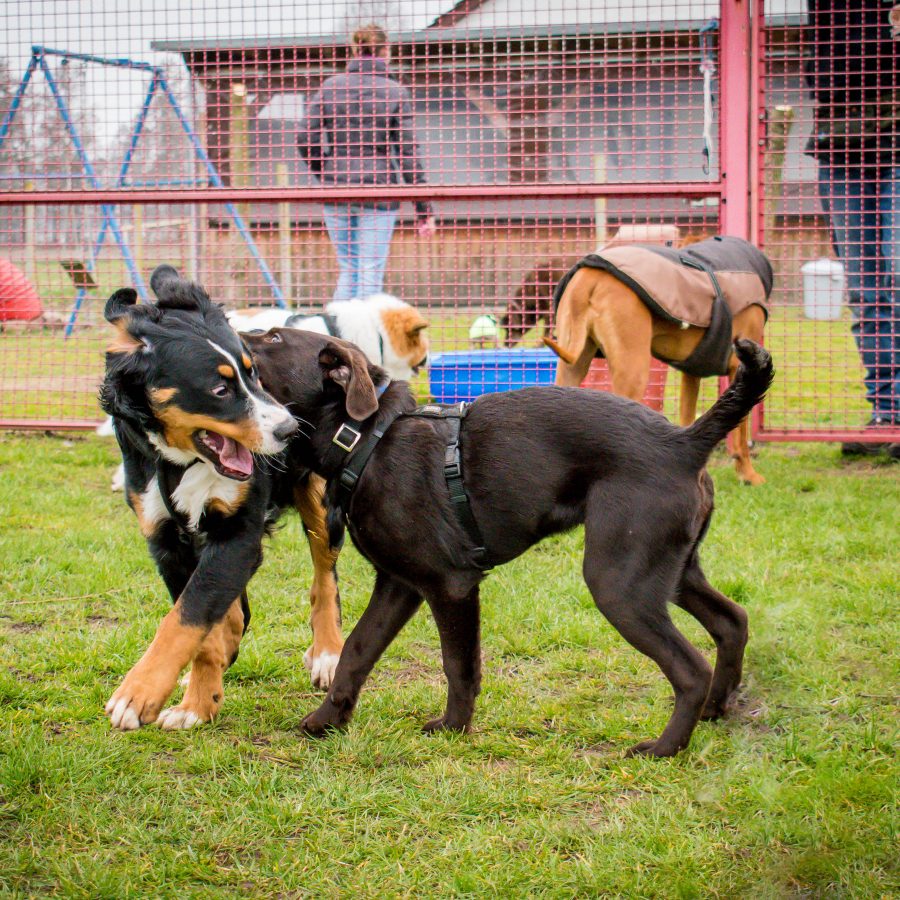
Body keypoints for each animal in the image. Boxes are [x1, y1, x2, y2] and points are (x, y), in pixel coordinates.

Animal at [100, 266, 346, 732]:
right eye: (219, 390)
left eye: (254, 374)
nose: (290, 430)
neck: (180, 462)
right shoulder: (166, 541)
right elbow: (198, 623)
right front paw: (198, 701)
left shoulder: (238, 532)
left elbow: (185, 620)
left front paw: (139, 693)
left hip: (321, 502)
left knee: (325, 577)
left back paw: (328, 653)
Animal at [246, 326, 772, 756]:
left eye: (272, 338)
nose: (231, 324)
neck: (365, 439)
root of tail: (684, 442)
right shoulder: (399, 584)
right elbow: (357, 650)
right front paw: (326, 721)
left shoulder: (450, 585)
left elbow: (458, 663)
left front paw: (454, 728)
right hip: (671, 570)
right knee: (732, 620)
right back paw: (716, 707)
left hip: (619, 582)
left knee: (690, 668)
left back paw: (664, 748)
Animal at [544, 236, 768, 482]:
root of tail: (589, 278)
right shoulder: (741, 366)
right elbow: (742, 433)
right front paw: (748, 475)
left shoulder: (691, 375)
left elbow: (688, 419)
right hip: (633, 371)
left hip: (573, 366)